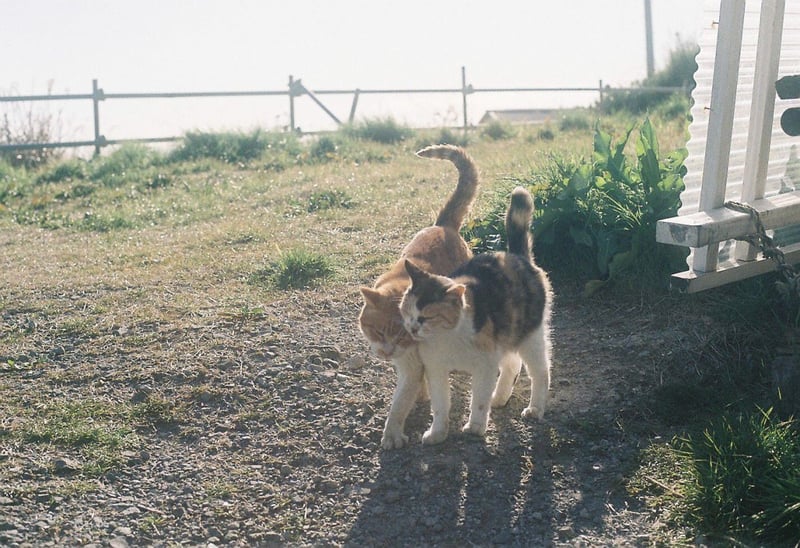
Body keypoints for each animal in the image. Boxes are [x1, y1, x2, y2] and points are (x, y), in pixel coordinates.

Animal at [360, 144, 478, 450]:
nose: (386, 353)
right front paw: (421, 396)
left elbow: (399, 404)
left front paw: (392, 433)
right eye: (378, 331)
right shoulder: (409, 362)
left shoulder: (411, 362)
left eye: (402, 335)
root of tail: (443, 225)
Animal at [398, 186, 552, 444]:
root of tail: (517, 256)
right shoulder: (436, 369)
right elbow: (440, 405)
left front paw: (476, 427)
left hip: (530, 337)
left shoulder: (485, 365)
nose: (412, 328)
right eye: (407, 311)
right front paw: (437, 433)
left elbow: (479, 399)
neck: (446, 339)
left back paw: (535, 409)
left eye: (426, 317)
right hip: (506, 334)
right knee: (512, 364)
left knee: (540, 372)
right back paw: (499, 398)